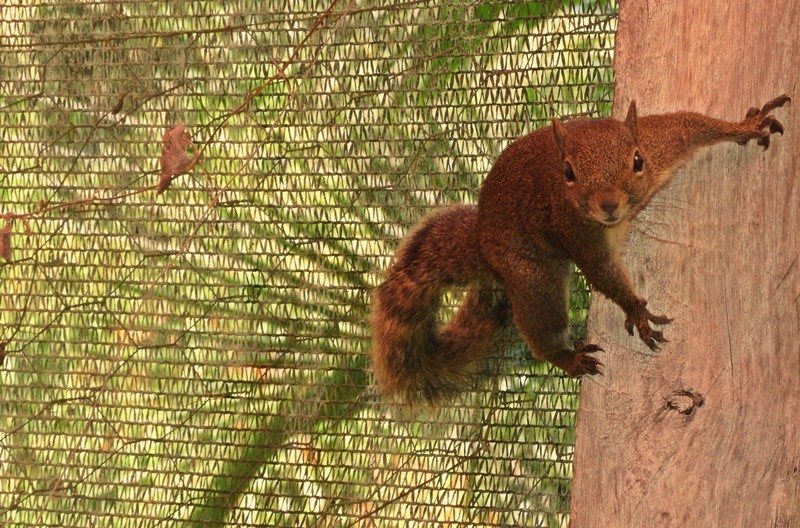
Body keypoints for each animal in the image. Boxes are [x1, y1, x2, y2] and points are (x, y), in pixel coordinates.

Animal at [372, 94, 792, 404]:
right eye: (568, 173)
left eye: (637, 160)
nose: (608, 205)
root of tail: (482, 244)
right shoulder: (577, 232)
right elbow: (601, 273)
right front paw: (636, 309)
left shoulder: (661, 140)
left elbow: (690, 124)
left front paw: (747, 126)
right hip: (533, 278)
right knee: (541, 326)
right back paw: (566, 357)